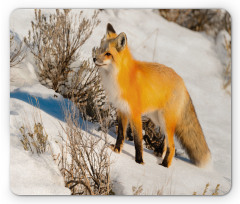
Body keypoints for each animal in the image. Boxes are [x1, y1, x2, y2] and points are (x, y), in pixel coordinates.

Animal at [93, 23, 211, 167]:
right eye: (100, 50)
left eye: (108, 54)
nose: (94, 58)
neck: (119, 76)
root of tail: (182, 82)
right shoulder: (122, 110)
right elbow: (121, 134)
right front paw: (116, 150)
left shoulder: (135, 114)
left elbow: (138, 141)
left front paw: (139, 161)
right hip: (158, 119)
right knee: (167, 143)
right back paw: (160, 156)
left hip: (165, 120)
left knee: (172, 147)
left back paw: (164, 166)